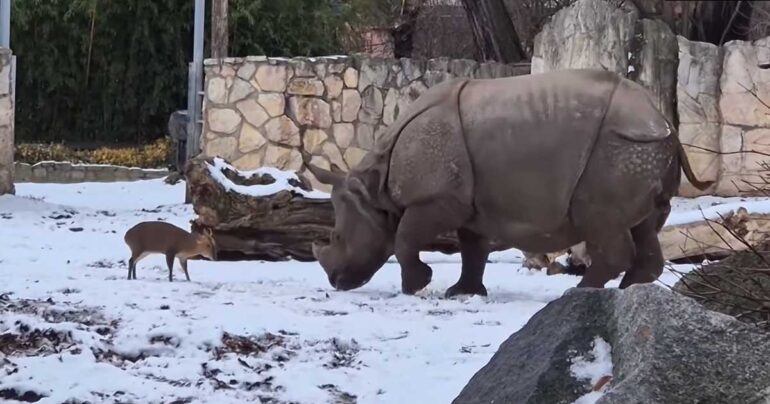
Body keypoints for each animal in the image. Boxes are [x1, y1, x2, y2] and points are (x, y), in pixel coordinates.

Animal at [305, 69, 712, 298]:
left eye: (336, 237)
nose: (335, 281)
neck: (374, 187)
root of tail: (664, 121)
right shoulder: (468, 205)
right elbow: (472, 249)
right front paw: (462, 293)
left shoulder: (435, 200)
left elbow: (405, 239)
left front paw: (416, 286)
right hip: (641, 149)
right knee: (644, 225)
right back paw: (629, 293)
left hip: (622, 147)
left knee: (600, 221)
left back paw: (578, 294)